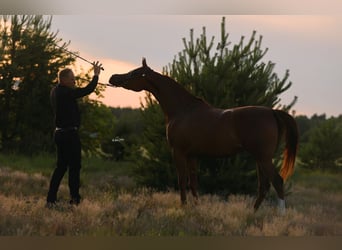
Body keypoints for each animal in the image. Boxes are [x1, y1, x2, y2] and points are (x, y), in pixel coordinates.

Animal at [108, 57, 298, 212]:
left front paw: (183, 208)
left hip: (263, 157)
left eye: (134, 73)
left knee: (277, 181)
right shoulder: (193, 155)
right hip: (260, 158)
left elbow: (182, 181)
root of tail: (271, 112)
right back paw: (253, 213)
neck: (183, 110)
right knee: (263, 186)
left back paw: (280, 215)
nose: (112, 78)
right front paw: (196, 208)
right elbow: (193, 183)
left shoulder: (178, 152)